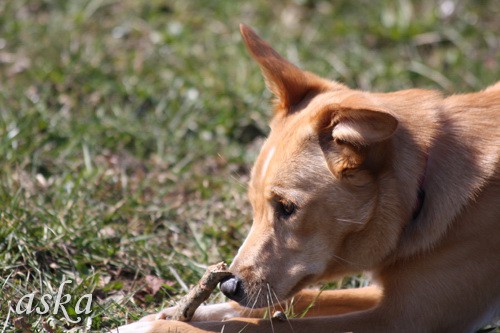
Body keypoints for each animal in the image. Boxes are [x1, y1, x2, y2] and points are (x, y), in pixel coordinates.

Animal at [117, 24, 500, 332]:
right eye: (253, 207)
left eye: (287, 207)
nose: (228, 285)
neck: (424, 180)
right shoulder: (381, 296)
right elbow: (286, 303)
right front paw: (167, 314)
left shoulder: (402, 319)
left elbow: (263, 325)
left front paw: (155, 327)